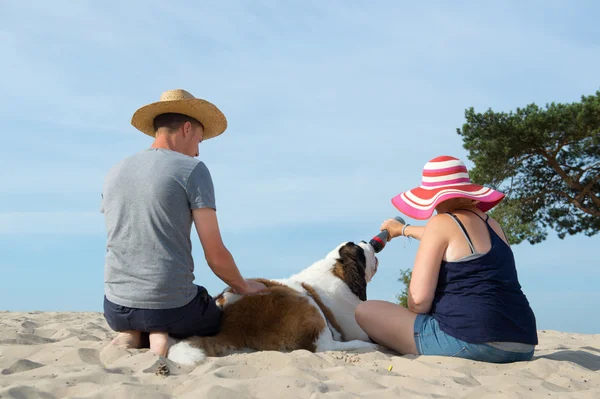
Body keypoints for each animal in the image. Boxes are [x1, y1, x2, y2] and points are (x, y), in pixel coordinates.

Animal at [165, 241, 380, 366]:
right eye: (360, 249)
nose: (367, 241)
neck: (336, 271)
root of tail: (228, 321)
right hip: (304, 302)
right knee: (325, 346)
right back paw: (365, 345)